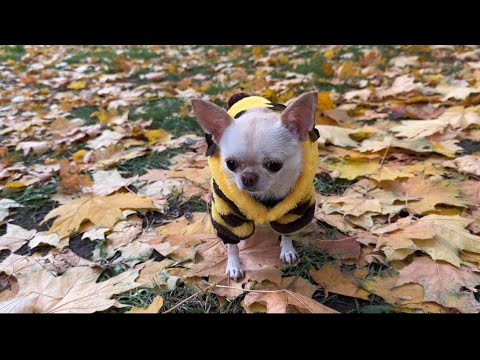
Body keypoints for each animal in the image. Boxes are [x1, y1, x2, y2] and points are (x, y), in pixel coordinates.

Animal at [191, 91, 318, 280]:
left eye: (274, 165)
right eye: (230, 164)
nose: (248, 177)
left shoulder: (294, 208)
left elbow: (287, 231)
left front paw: (287, 250)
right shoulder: (228, 213)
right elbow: (232, 245)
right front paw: (234, 265)